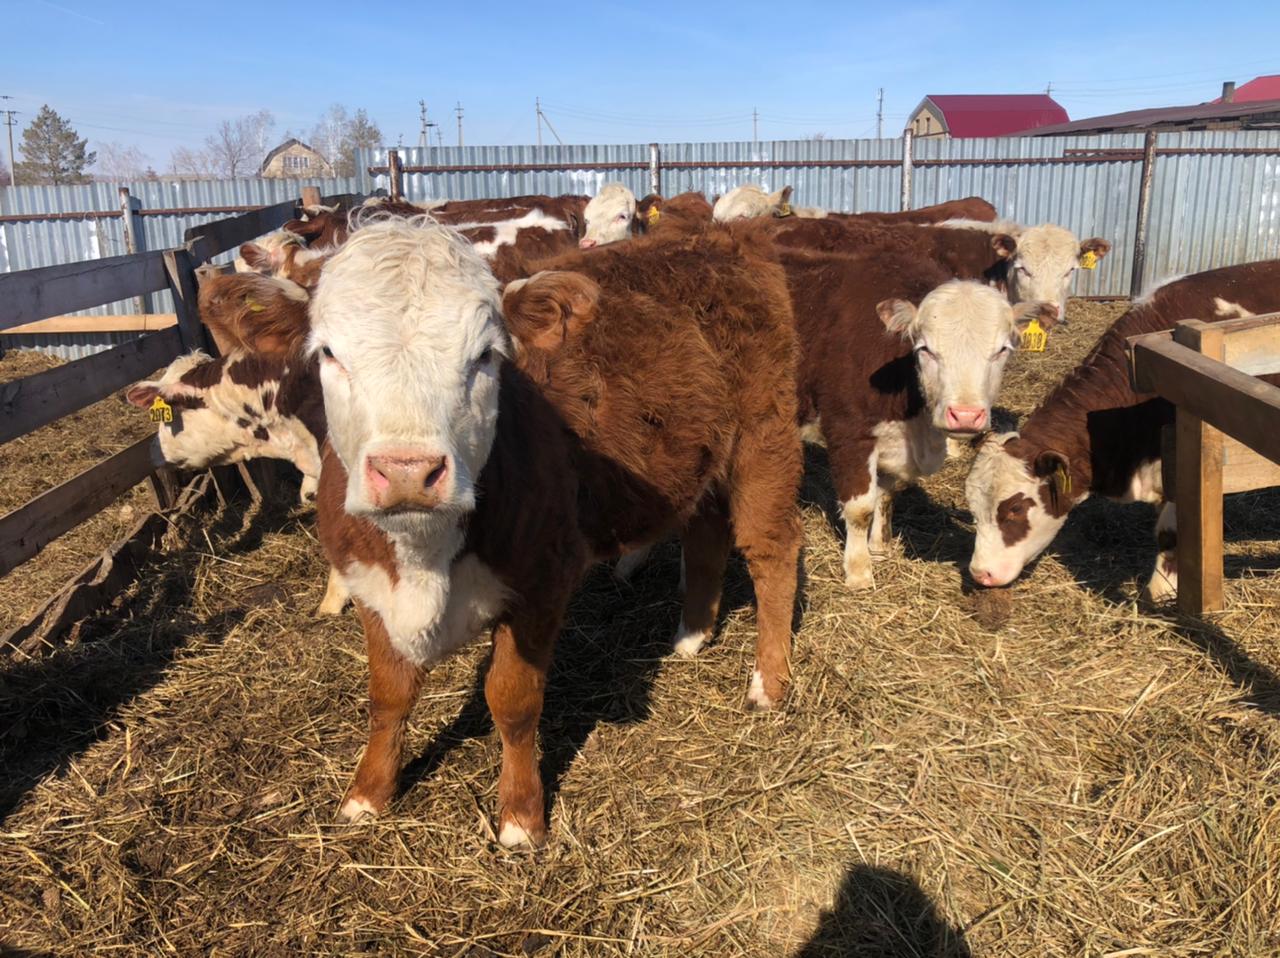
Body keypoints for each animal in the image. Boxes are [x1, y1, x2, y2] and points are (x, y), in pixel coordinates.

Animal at [305, 216, 798, 845]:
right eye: (329, 352)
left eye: (486, 356)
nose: (408, 471)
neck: (423, 558)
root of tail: (724, 233)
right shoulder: (370, 587)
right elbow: (388, 696)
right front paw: (367, 793)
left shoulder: (542, 585)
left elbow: (513, 701)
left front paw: (520, 816)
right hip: (701, 455)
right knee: (706, 535)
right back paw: (691, 635)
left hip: (765, 438)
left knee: (772, 550)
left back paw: (769, 681)